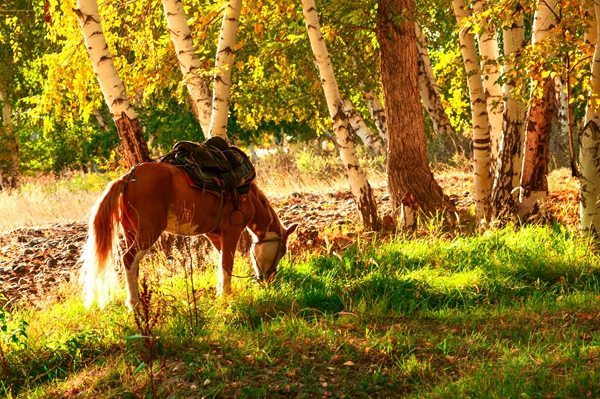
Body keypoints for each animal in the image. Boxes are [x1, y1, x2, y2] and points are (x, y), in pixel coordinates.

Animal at [77, 162, 298, 310]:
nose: (268, 280)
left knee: (133, 265)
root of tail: (128, 178)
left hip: (131, 232)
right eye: (282, 251)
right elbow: (227, 263)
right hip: (147, 234)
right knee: (129, 259)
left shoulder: (214, 234)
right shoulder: (231, 231)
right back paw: (134, 304)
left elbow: (221, 263)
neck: (247, 196)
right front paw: (226, 296)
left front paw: (219, 290)